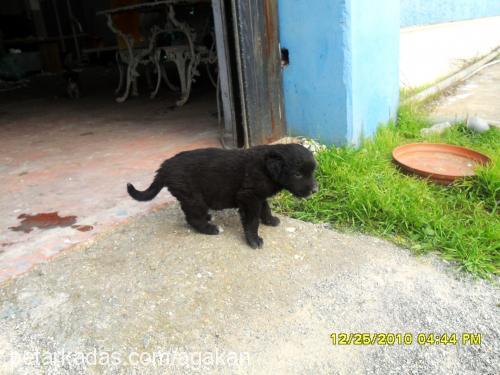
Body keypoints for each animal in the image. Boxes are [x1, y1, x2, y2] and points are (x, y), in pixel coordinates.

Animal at [127, 144, 318, 250]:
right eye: (298, 174)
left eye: (312, 172)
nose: (315, 190)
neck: (266, 168)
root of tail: (165, 166)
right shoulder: (249, 197)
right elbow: (252, 221)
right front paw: (254, 240)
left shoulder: (259, 195)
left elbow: (266, 208)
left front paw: (270, 221)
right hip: (193, 197)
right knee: (192, 217)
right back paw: (210, 229)